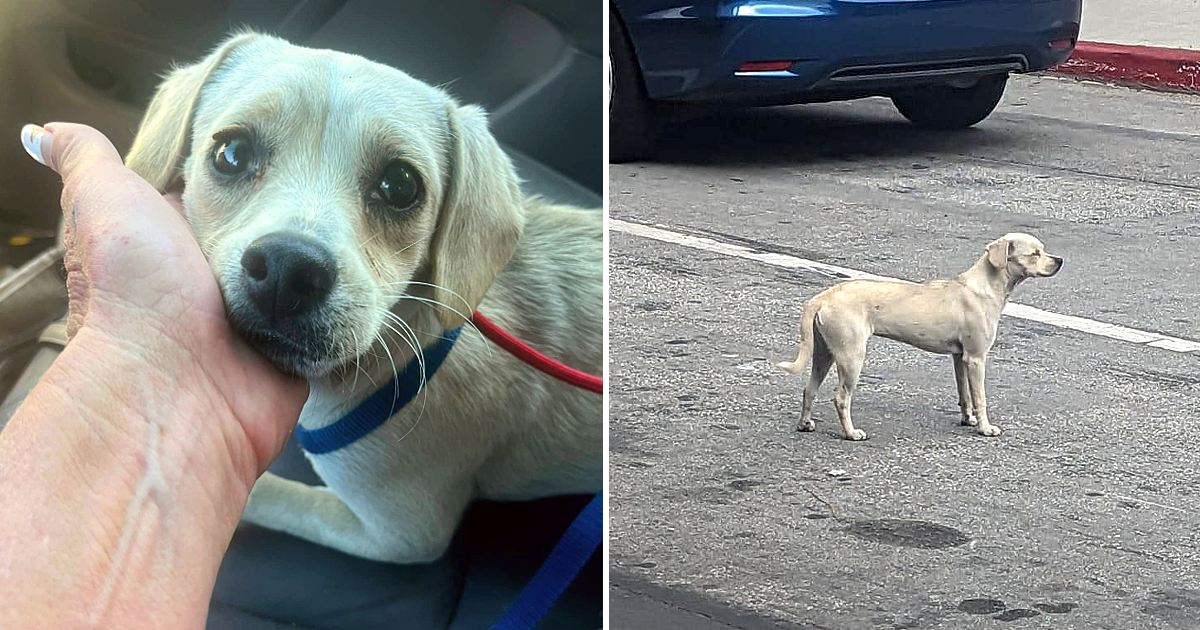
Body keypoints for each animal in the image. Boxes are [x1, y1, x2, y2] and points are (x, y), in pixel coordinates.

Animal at [777, 232, 1060, 439]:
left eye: (1043, 250)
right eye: (1035, 253)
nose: (1060, 261)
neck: (985, 287)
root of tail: (823, 297)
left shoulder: (960, 358)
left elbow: (965, 395)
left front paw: (967, 419)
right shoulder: (976, 358)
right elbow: (980, 397)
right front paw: (985, 428)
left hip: (824, 353)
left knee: (809, 389)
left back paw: (805, 424)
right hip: (851, 356)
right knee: (840, 398)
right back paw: (851, 433)